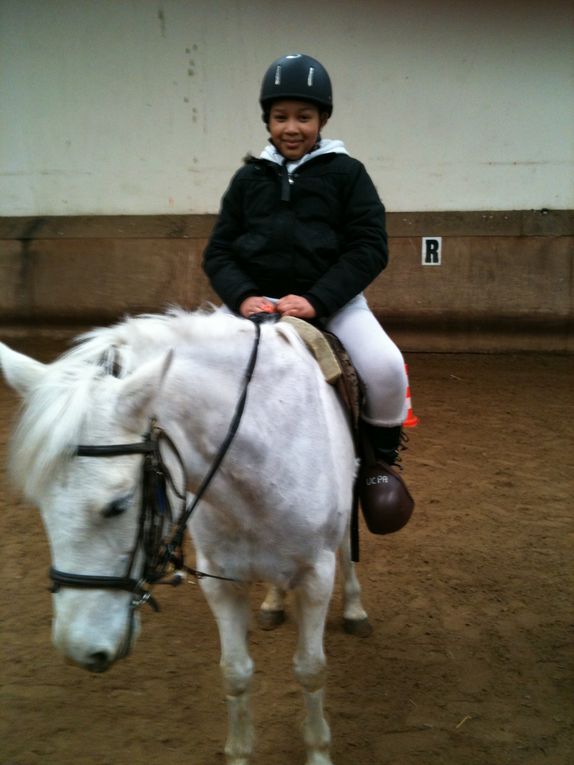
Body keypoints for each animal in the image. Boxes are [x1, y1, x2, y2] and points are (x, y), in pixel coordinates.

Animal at [0, 308, 368, 764]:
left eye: (119, 504)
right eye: (39, 504)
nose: (80, 650)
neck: (264, 456)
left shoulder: (316, 577)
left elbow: (311, 670)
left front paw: (318, 752)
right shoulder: (221, 582)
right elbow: (235, 673)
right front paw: (239, 753)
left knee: (347, 549)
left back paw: (354, 608)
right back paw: (273, 602)